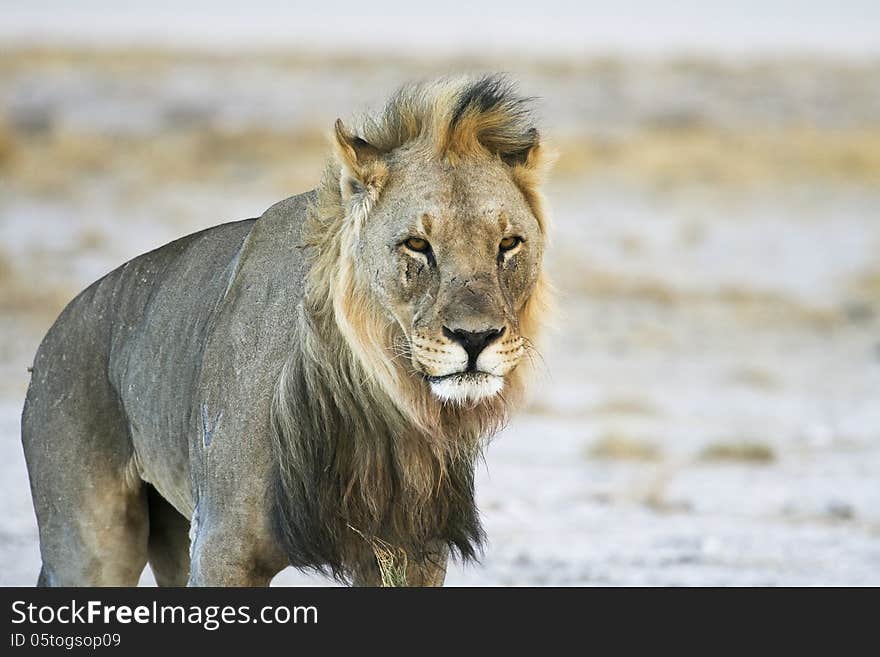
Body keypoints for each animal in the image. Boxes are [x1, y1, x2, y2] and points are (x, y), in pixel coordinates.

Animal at [20, 74, 552, 588]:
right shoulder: (223, 549)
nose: (476, 338)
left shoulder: (412, 551)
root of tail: (52, 337)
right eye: (418, 245)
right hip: (89, 545)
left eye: (508, 244)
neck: (376, 406)